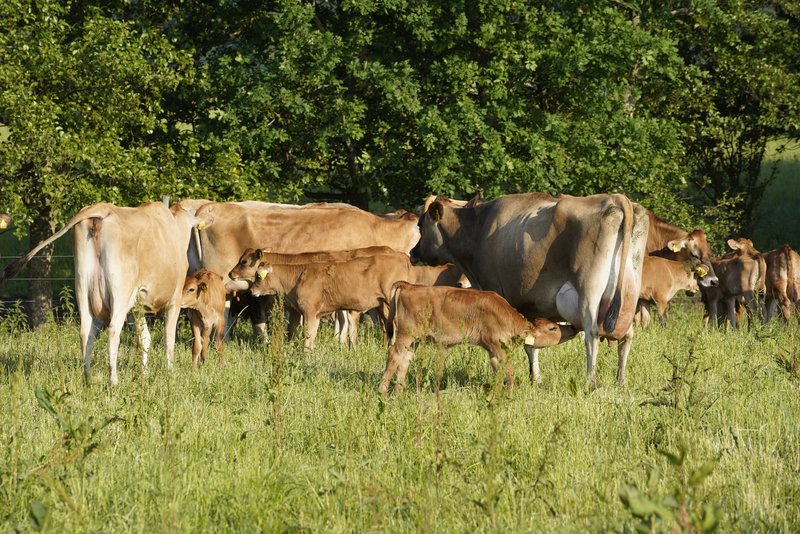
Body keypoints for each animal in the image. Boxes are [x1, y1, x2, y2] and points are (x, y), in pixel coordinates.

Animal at [0, 202, 198, 386]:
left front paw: (144, 374)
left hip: (83, 284)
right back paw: (113, 381)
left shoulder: (136, 307)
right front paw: (169, 373)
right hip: (120, 292)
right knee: (113, 331)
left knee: (85, 332)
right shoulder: (174, 301)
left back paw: (87, 378)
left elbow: (144, 338)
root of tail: (102, 208)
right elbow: (168, 338)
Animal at [378, 282, 580, 396]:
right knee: (394, 354)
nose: (572, 327)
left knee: (404, 359)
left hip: (414, 340)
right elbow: (509, 370)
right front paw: (511, 392)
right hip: (406, 334)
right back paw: (382, 391)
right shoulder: (499, 345)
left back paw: (399, 392)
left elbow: (498, 371)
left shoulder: (492, 350)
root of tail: (409, 286)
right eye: (552, 328)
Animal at [416, 193, 648, 386]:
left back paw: (590, 383)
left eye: (420, 226)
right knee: (627, 337)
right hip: (627, 294)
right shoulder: (530, 306)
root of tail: (616, 198)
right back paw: (620, 381)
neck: (478, 229)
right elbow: (532, 343)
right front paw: (535, 379)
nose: (413, 253)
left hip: (589, 293)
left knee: (591, 337)